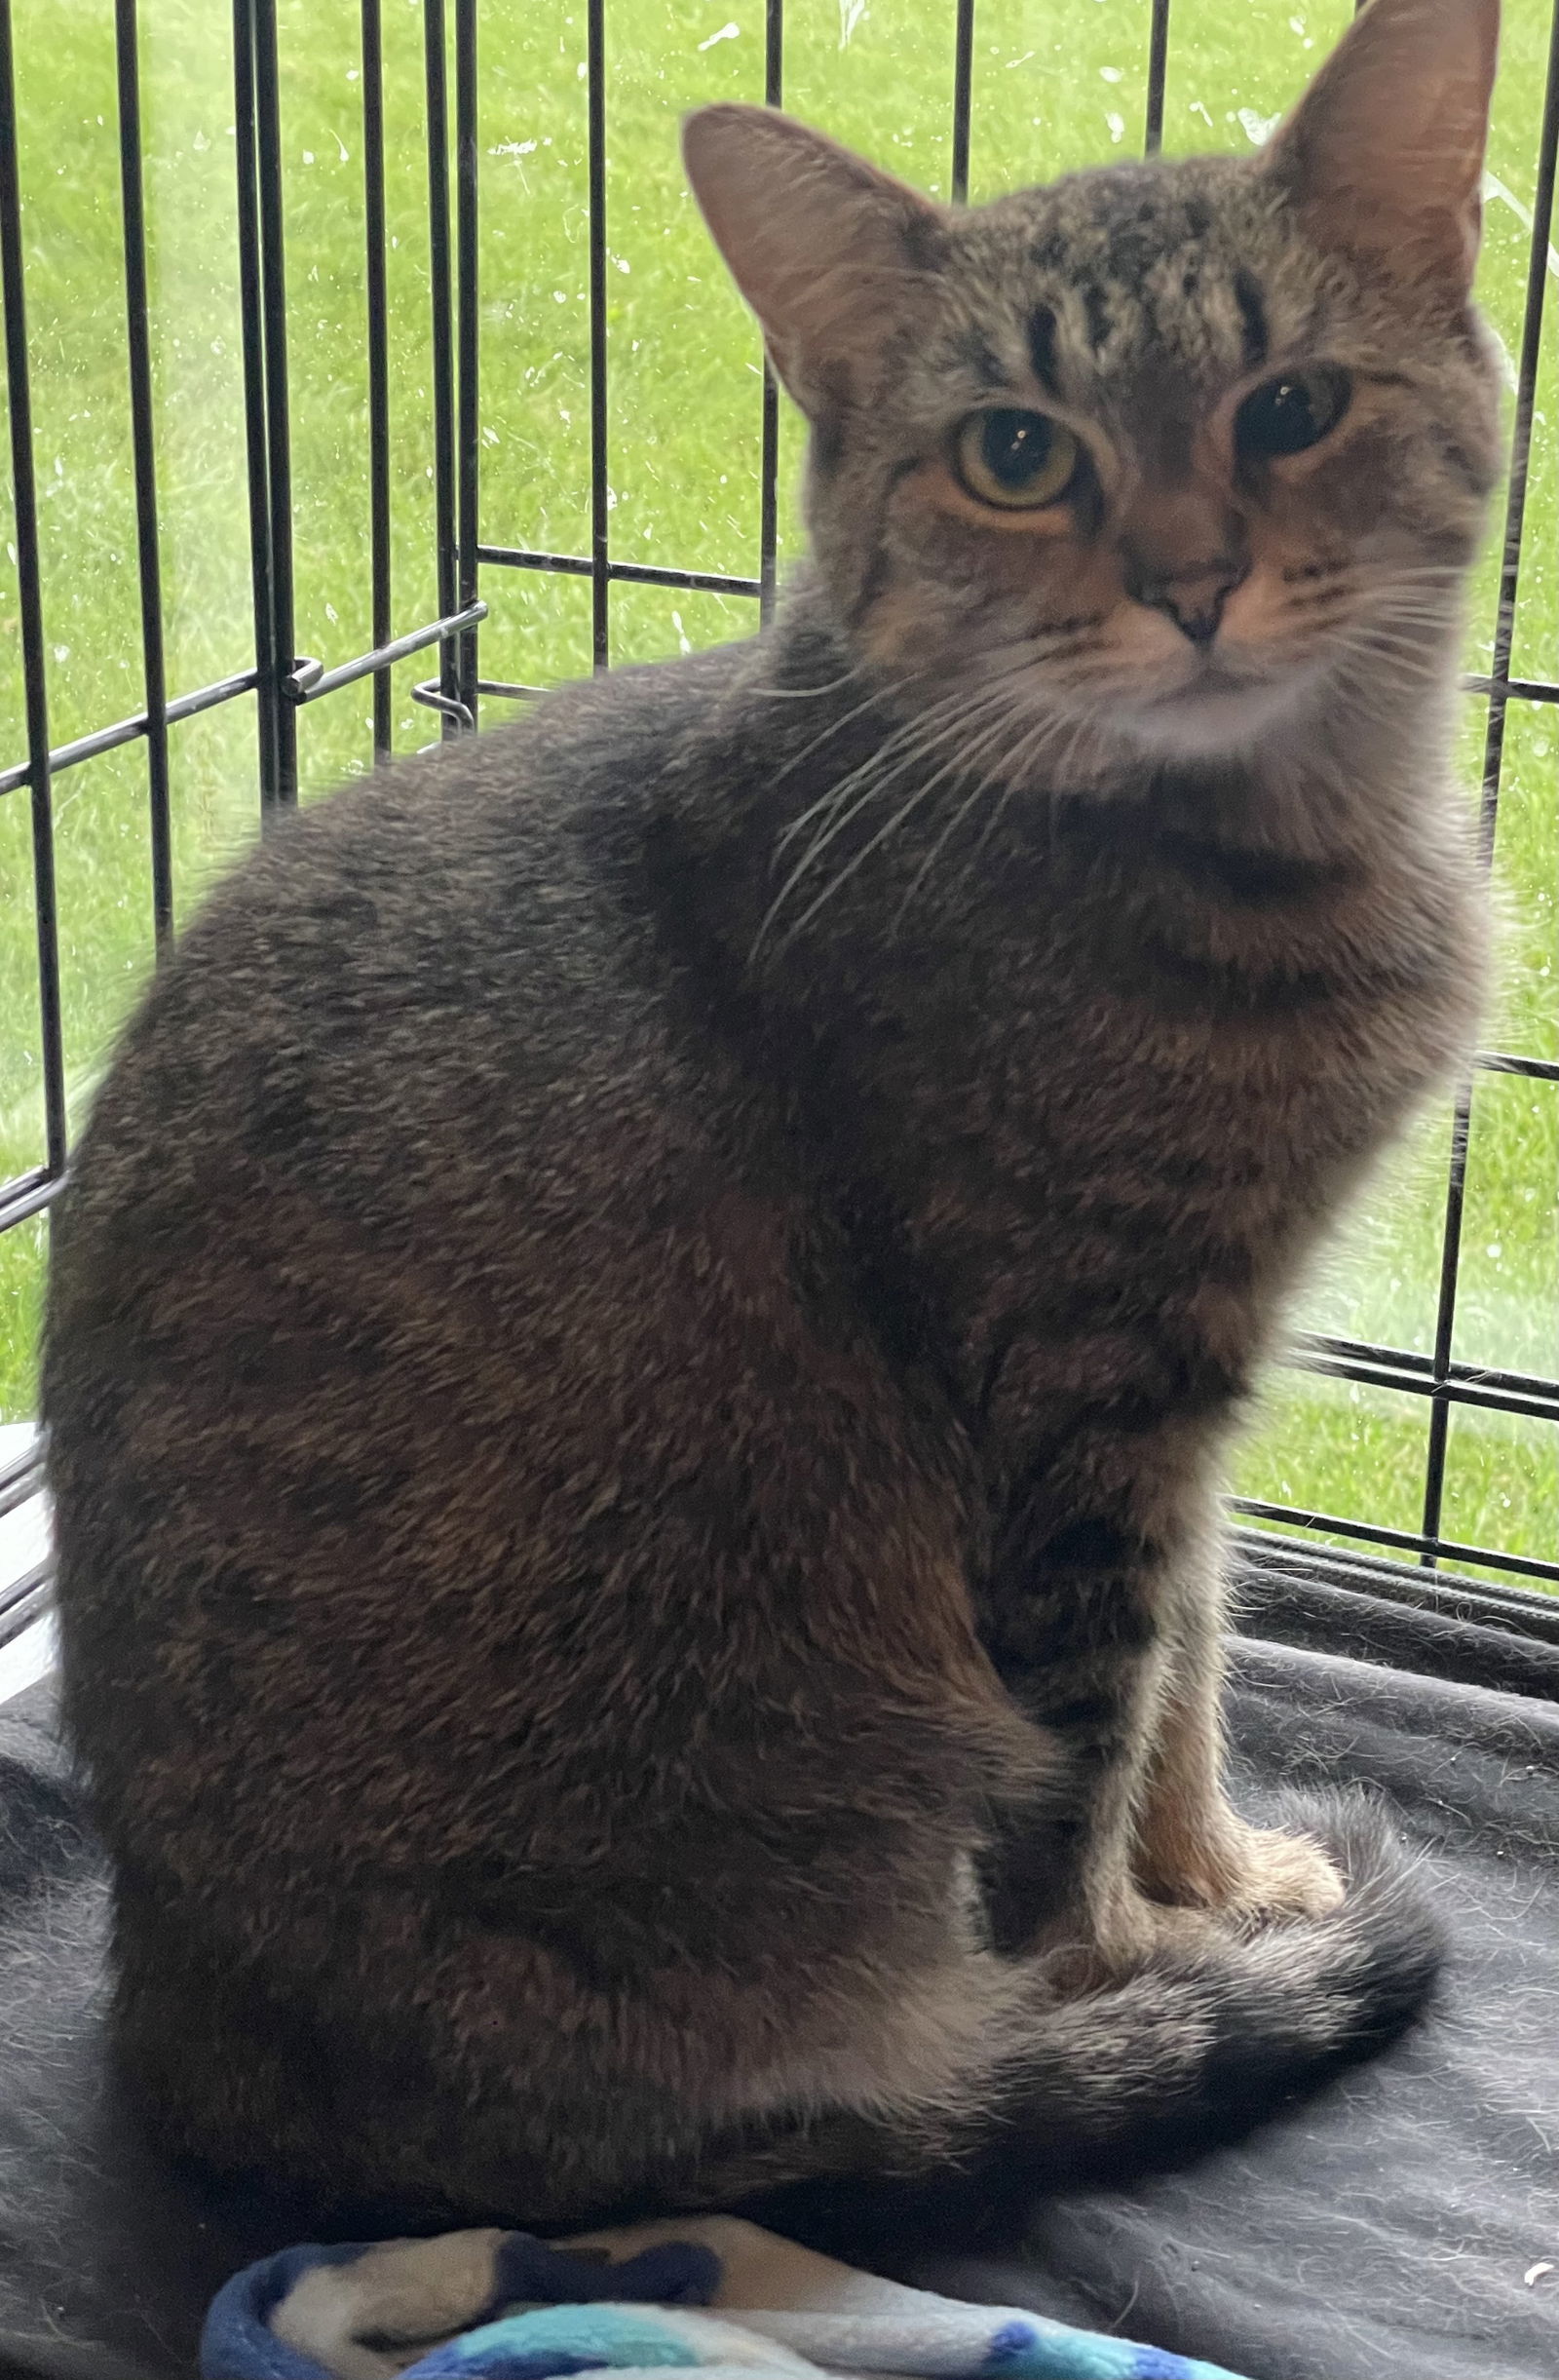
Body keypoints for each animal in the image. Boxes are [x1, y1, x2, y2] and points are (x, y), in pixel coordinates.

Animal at [52, 0, 1503, 2227]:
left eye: (1290, 406)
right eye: (1015, 453)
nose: (1190, 582)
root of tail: (209, 2060)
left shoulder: (1194, 1392)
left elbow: (1194, 1674)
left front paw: (1228, 1879)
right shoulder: (1080, 1390)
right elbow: (1093, 1752)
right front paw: (1137, 1960)